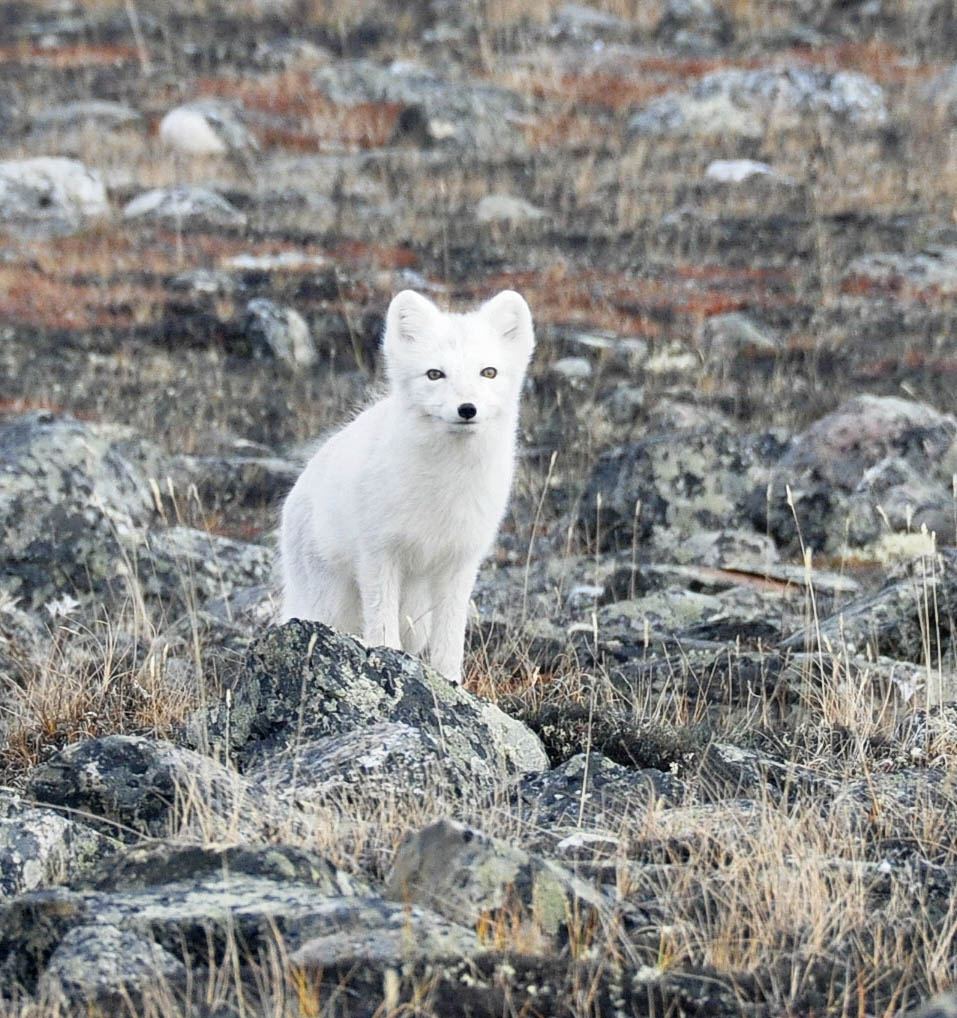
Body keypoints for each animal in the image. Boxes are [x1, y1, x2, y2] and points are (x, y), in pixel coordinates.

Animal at [280, 289, 533, 684]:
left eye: (488, 372)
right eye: (435, 374)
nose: (467, 409)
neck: (448, 480)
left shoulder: (460, 561)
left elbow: (450, 638)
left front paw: (449, 681)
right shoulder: (379, 554)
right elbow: (382, 628)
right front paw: (388, 662)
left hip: (416, 616)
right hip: (330, 602)